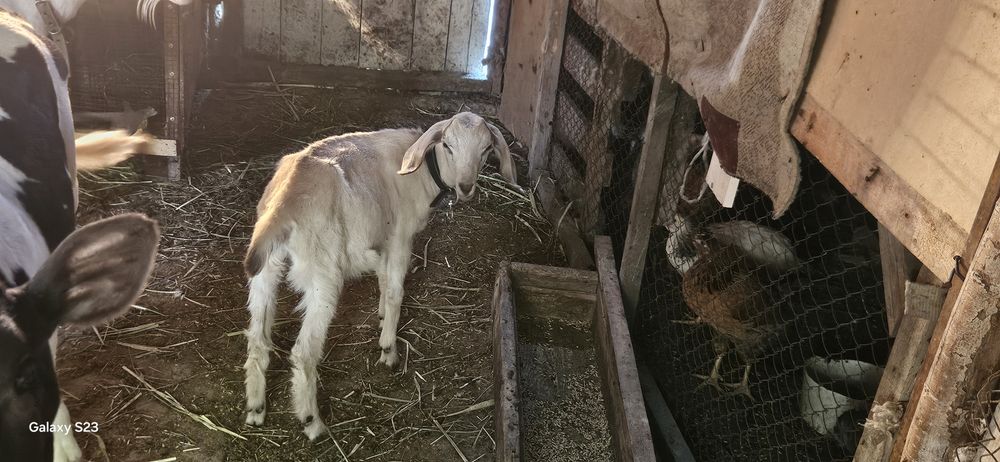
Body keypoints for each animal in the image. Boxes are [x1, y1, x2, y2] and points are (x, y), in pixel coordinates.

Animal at [242, 112, 517, 439]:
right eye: (447, 145)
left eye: (487, 149)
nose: (465, 187)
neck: (423, 173)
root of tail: (282, 207)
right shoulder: (400, 238)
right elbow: (396, 291)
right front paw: (388, 348)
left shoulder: (382, 240)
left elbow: (384, 281)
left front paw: (382, 316)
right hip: (323, 274)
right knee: (303, 353)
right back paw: (312, 422)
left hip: (265, 270)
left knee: (257, 341)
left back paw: (256, 408)